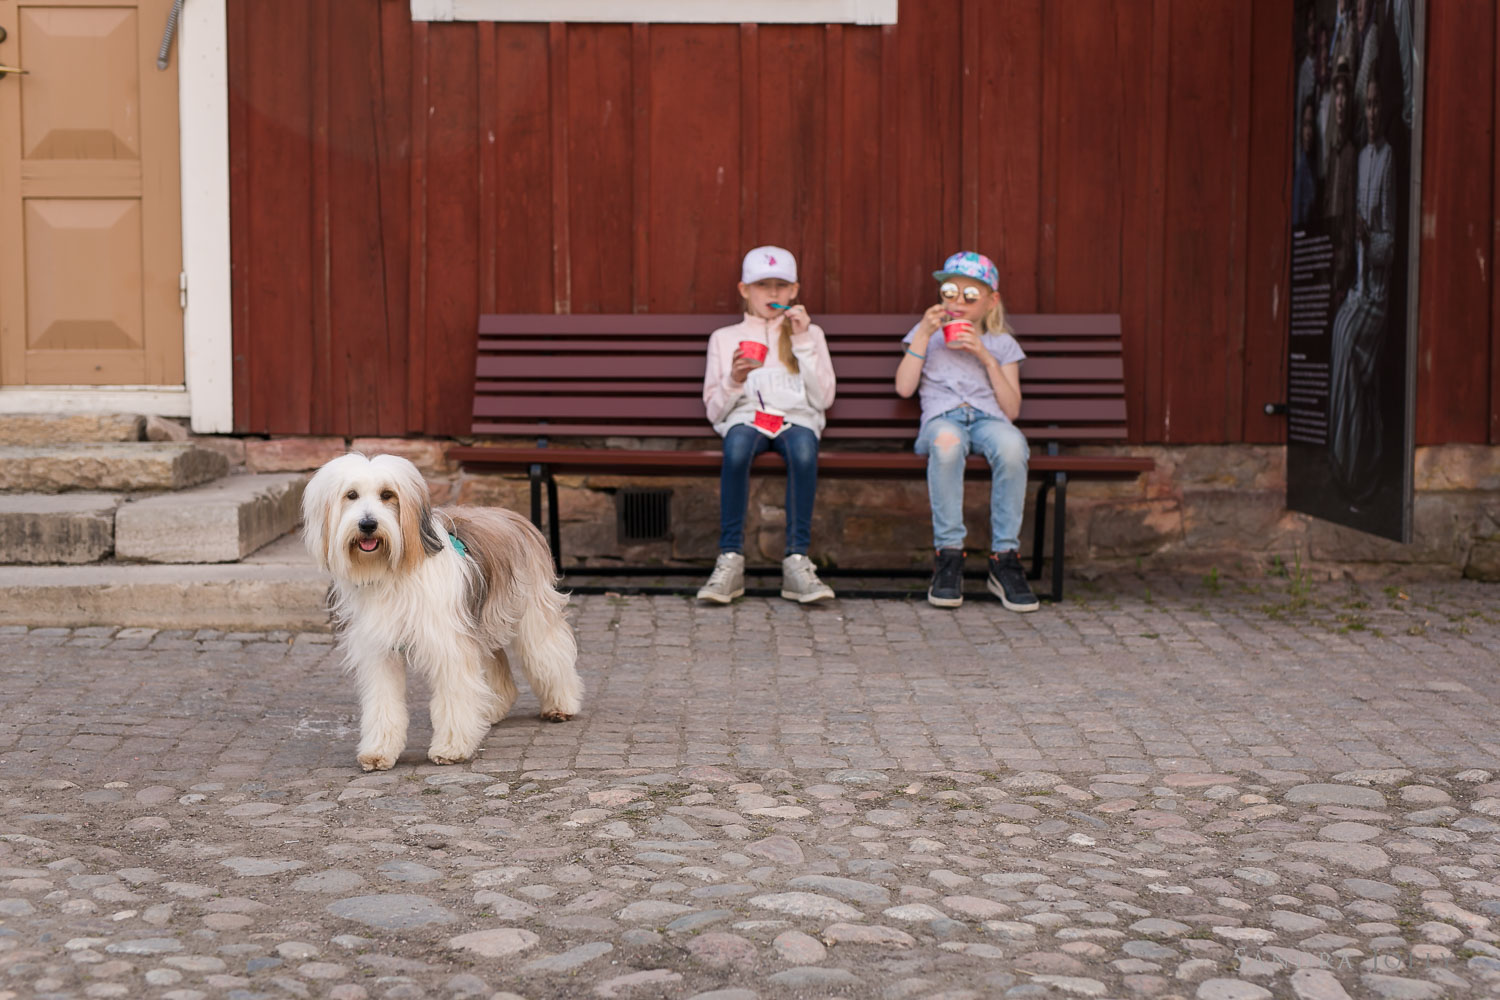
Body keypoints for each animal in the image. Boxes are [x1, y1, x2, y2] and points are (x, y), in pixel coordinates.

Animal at [301, 452, 582, 773]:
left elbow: (453, 697)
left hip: (531, 616)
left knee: (550, 654)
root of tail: (515, 517)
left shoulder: (449, 645)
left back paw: (562, 704)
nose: (368, 524)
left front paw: (451, 748)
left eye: (387, 495)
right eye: (351, 495)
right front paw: (379, 750)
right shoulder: (380, 653)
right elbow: (383, 703)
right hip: (482, 621)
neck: (393, 572)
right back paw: (491, 708)